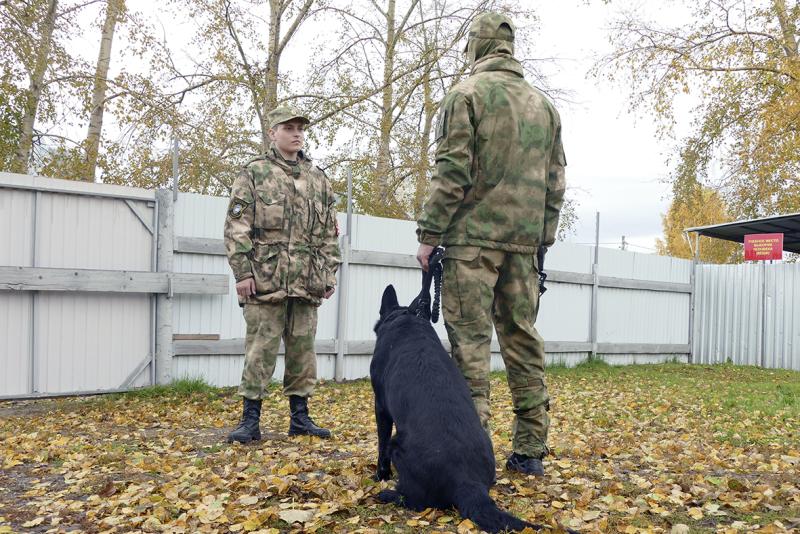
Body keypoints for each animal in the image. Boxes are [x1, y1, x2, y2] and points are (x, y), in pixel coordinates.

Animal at [372, 286, 540, 532]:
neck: (405, 319)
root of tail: (467, 482)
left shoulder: (381, 407)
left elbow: (381, 446)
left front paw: (380, 476)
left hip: (397, 444)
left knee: (416, 500)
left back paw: (389, 495)